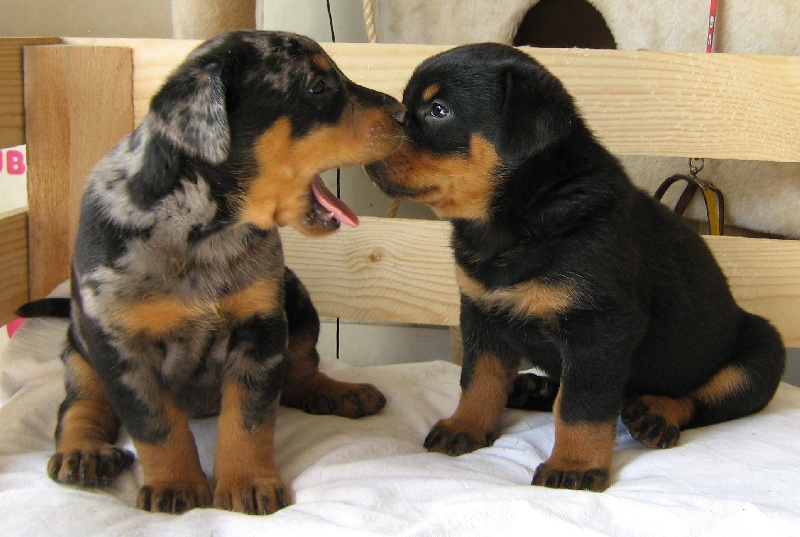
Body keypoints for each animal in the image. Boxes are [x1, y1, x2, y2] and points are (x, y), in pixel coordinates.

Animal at [24, 31, 405, 514]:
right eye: (317, 87)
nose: (405, 114)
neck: (202, 232)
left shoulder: (261, 328)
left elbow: (249, 418)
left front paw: (248, 482)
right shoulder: (121, 349)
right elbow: (157, 424)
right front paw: (176, 484)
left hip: (296, 300)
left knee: (299, 373)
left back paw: (341, 391)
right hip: (79, 347)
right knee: (79, 405)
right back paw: (84, 453)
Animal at [366, 43, 785, 492]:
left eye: (438, 110)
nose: (373, 135)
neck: (513, 223)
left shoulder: (599, 328)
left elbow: (580, 405)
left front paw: (575, 466)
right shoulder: (482, 313)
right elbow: (478, 379)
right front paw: (466, 426)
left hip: (761, 351)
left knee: (703, 395)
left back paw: (655, 413)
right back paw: (532, 387)